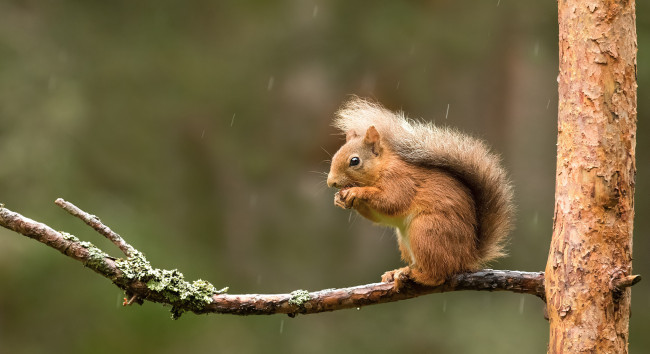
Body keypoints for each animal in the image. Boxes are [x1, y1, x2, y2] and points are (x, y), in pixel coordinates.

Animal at [326, 96, 512, 288]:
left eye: (355, 161)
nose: (331, 182)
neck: (382, 167)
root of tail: (466, 258)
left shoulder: (401, 180)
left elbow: (392, 201)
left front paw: (357, 191)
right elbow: (379, 217)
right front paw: (340, 199)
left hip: (426, 232)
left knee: (438, 274)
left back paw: (417, 275)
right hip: (407, 241)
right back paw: (398, 272)